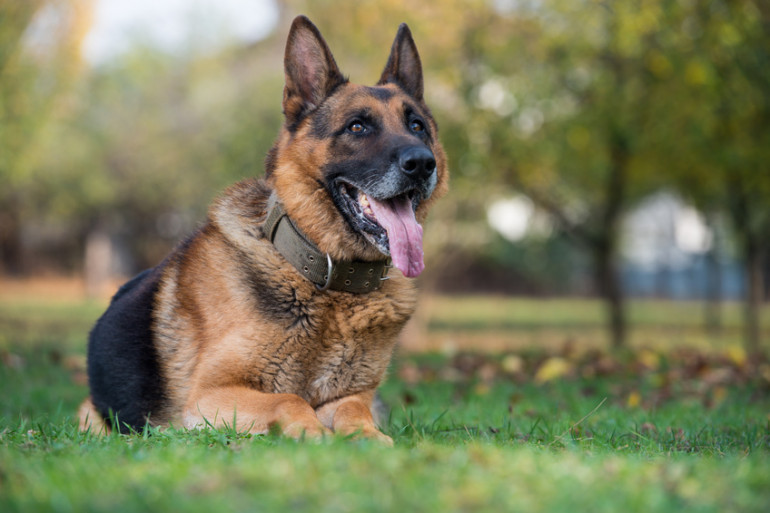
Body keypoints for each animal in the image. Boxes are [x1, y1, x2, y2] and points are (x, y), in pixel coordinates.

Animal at [77, 14, 448, 442]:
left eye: (417, 126)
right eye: (357, 127)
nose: (422, 164)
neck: (324, 279)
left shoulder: (353, 395)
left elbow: (355, 411)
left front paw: (370, 437)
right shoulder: (208, 397)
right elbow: (290, 399)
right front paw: (314, 433)